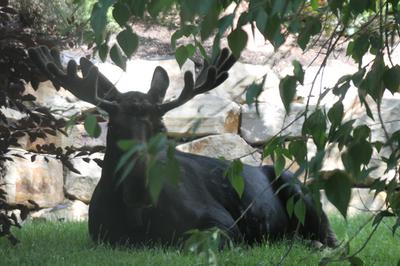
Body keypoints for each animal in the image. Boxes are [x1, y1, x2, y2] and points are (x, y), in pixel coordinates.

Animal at [28, 45, 338, 247]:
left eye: (161, 128)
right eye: (113, 126)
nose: (139, 184)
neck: (138, 215)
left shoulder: (223, 223)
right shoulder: (101, 236)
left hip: (296, 187)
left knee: (329, 236)